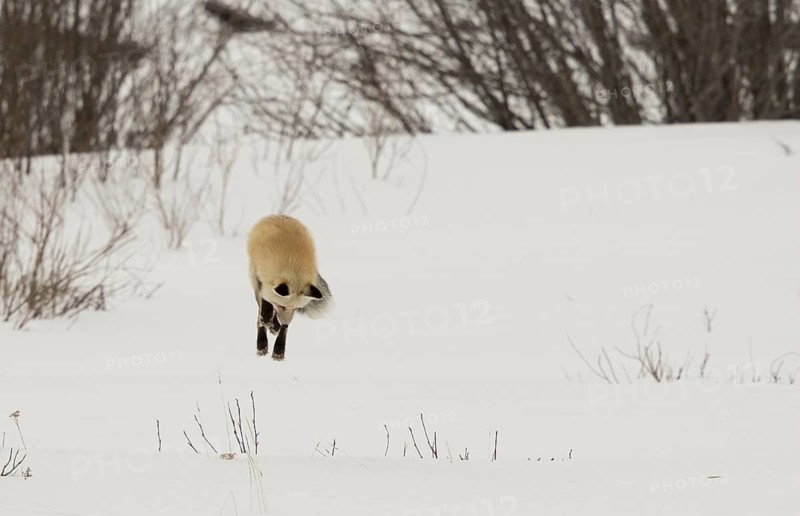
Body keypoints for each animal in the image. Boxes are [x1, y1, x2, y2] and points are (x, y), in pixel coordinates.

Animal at [247, 215, 331, 360]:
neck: (292, 266)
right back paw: (262, 343)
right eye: (282, 306)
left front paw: (279, 349)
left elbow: (283, 331)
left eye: (296, 309)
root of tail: (278, 216)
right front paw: (267, 320)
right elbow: (266, 304)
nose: (285, 323)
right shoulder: (261, 280)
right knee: (259, 317)